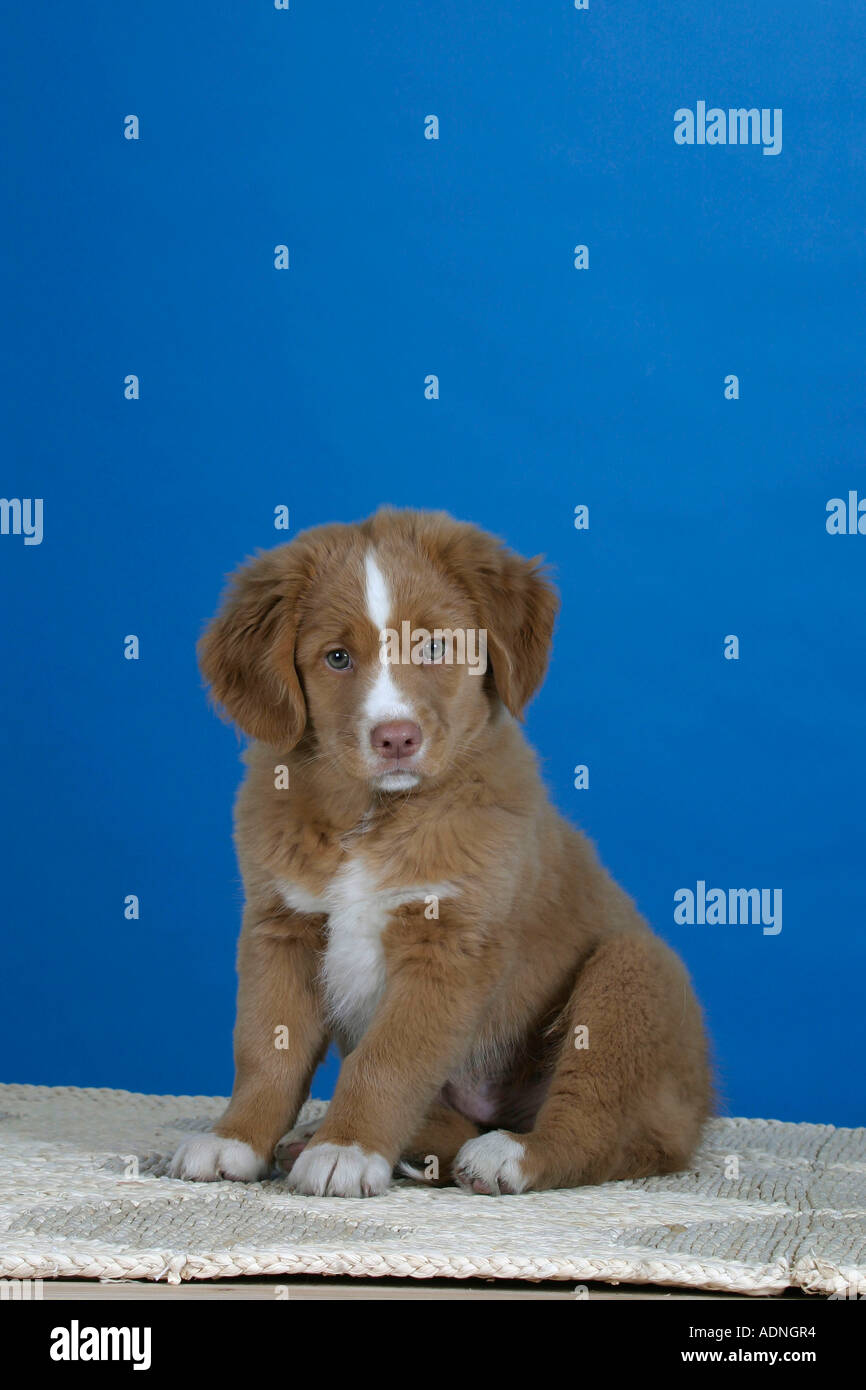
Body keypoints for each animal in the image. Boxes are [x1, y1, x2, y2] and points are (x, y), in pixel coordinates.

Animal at [169, 508, 711, 1195]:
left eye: (434, 647)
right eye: (337, 658)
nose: (396, 737)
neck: (371, 817)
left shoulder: (449, 943)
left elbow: (387, 1058)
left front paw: (346, 1150)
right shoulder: (282, 928)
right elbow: (267, 1048)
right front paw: (236, 1139)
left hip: (632, 974)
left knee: (604, 1131)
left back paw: (510, 1155)